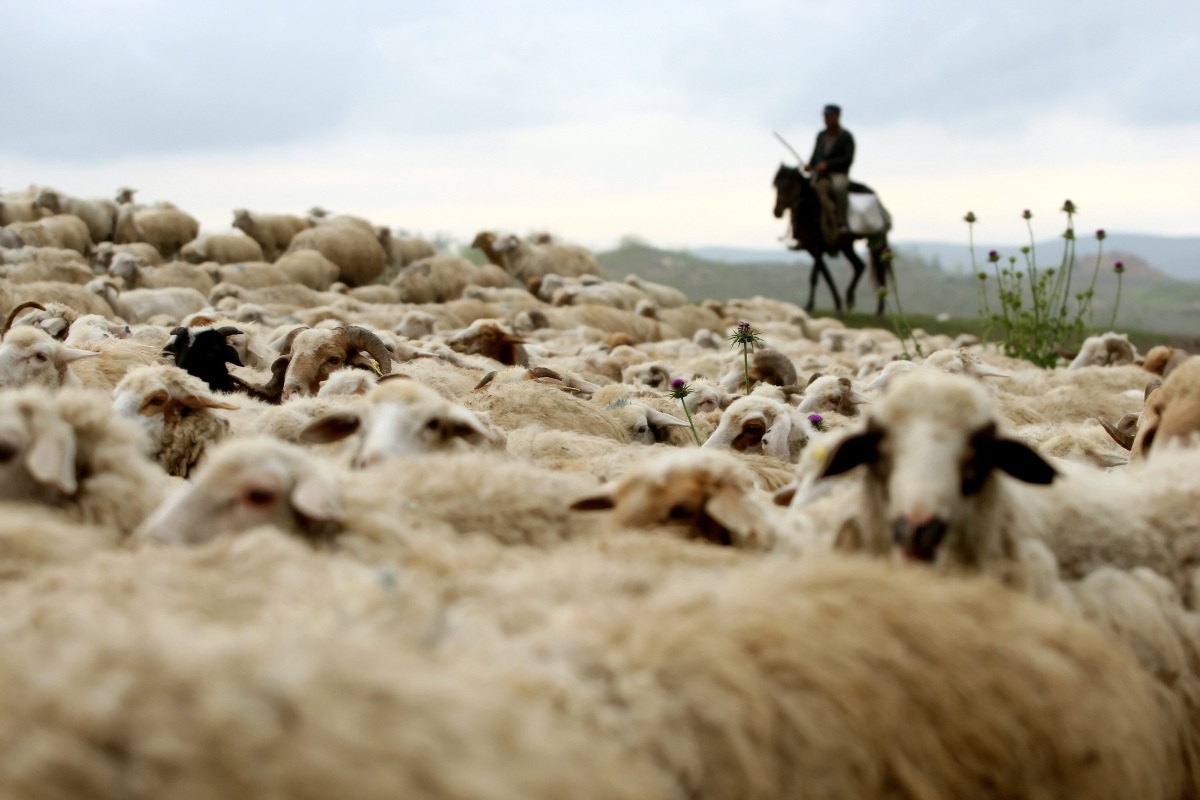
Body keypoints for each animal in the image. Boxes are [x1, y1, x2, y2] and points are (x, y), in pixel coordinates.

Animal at [777, 165, 892, 316]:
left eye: (790, 184)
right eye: (775, 185)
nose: (776, 211)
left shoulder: (818, 245)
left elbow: (814, 276)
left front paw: (809, 305)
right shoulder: (811, 248)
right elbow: (826, 276)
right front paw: (837, 304)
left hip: (876, 241)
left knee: (879, 271)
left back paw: (879, 309)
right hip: (846, 245)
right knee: (859, 266)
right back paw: (850, 299)